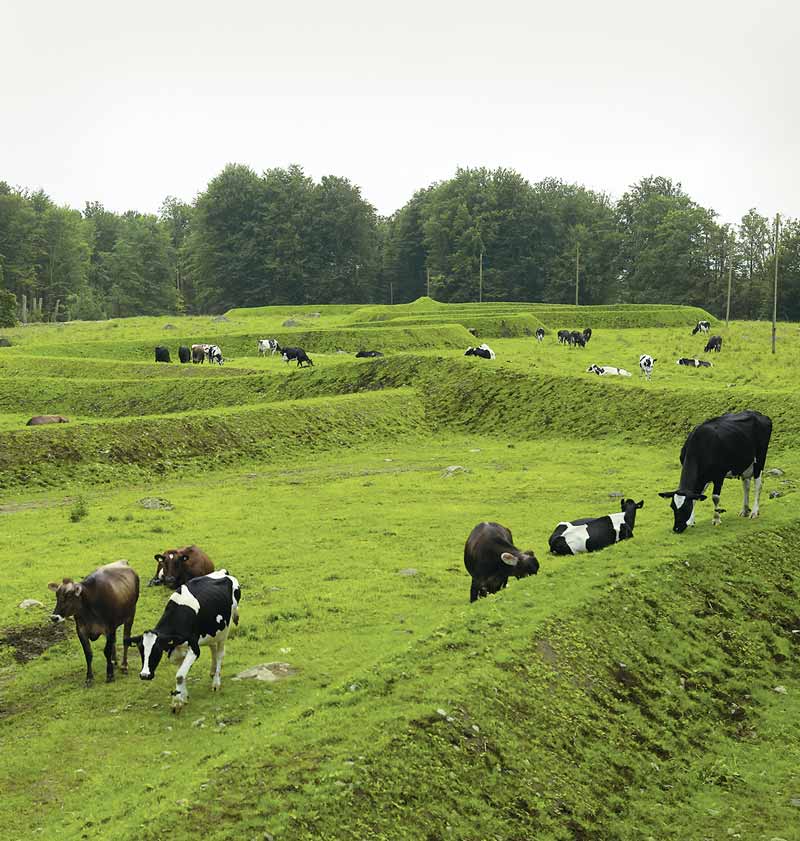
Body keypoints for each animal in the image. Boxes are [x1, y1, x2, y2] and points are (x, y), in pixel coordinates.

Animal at [126, 568, 241, 712]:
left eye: (157, 650)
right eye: (141, 649)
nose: (145, 675)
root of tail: (223, 572)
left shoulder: (194, 648)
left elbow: (180, 675)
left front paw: (177, 702)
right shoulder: (175, 650)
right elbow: (181, 672)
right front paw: (183, 696)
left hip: (224, 630)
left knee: (220, 653)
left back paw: (216, 682)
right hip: (211, 631)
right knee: (213, 649)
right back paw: (212, 671)